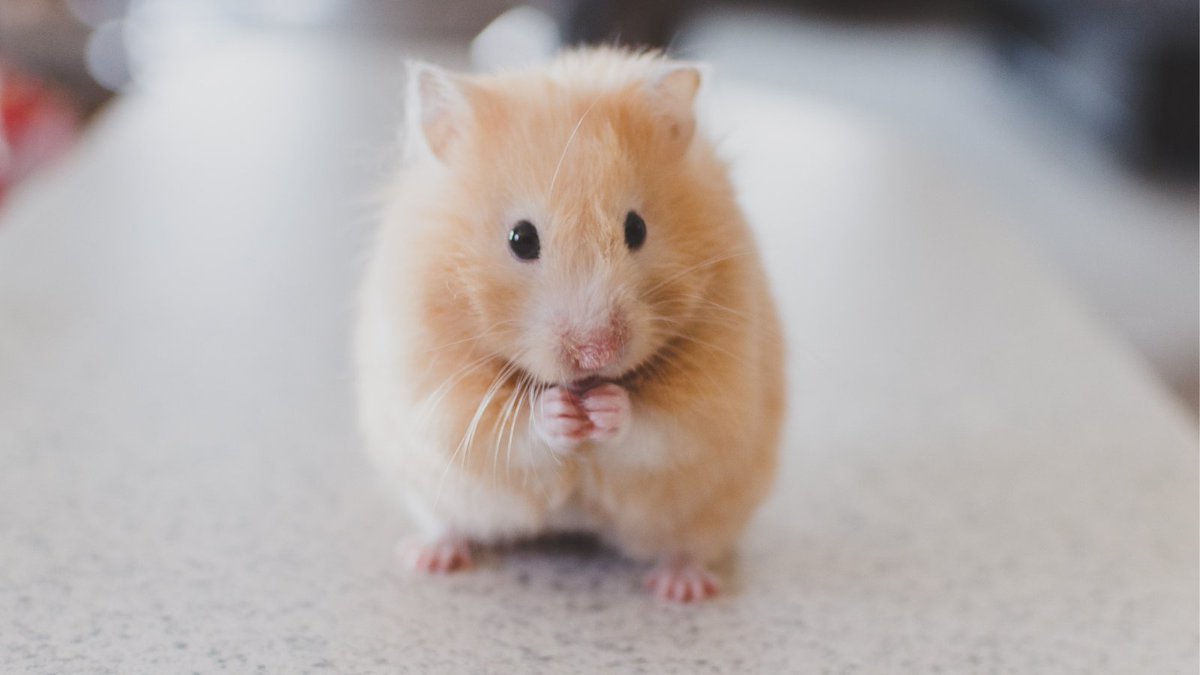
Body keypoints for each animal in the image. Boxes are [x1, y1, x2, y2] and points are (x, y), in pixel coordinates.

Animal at [354, 47, 784, 602]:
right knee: (448, 523)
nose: (596, 353)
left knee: (688, 545)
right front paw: (560, 412)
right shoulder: (437, 392)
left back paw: (682, 588)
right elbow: (508, 429)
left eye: (636, 229)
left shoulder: (717, 396)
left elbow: (660, 427)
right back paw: (428, 557)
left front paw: (605, 408)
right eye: (521, 239)